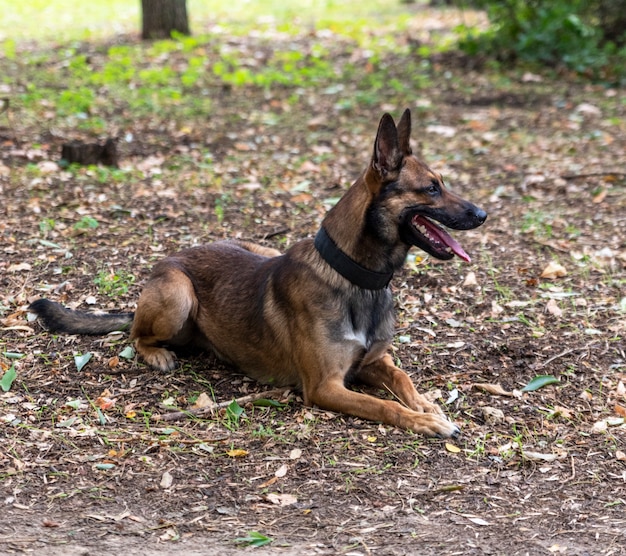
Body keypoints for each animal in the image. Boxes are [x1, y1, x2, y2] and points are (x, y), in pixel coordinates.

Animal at [31, 109, 486, 438]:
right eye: (432, 188)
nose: (482, 214)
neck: (355, 277)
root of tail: (171, 260)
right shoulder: (325, 387)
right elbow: (384, 404)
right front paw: (424, 420)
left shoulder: (374, 361)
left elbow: (402, 378)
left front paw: (426, 404)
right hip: (178, 292)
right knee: (135, 334)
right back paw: (158, 353)